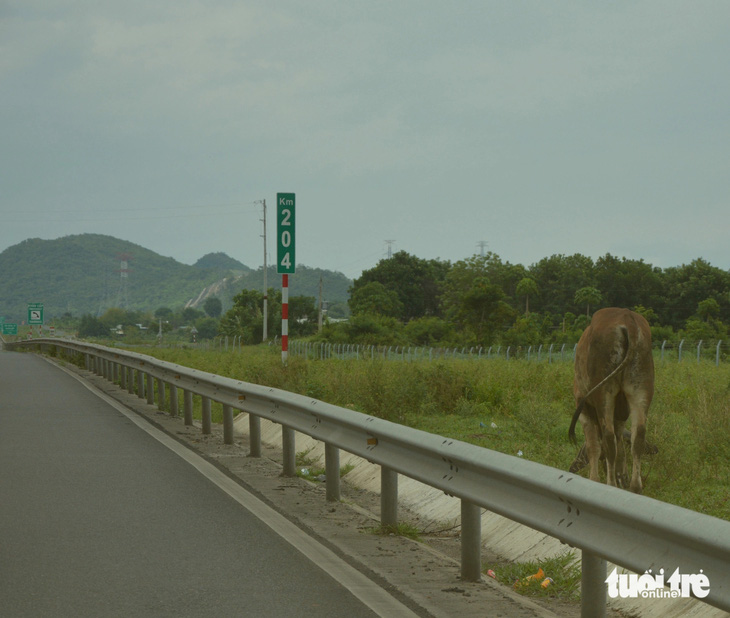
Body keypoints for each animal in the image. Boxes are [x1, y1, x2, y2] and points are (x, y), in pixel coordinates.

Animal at [564, 306, 652, 490]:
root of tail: (628, 319)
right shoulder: (620, 417)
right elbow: (621, 447)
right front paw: (622, 476)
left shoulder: (584, 408)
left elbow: (594, 447)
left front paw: (596, 478)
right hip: (641, 391)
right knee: (638, 438)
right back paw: (635, 487)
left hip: (603, 395)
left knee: (608, 440)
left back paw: (610, 484)